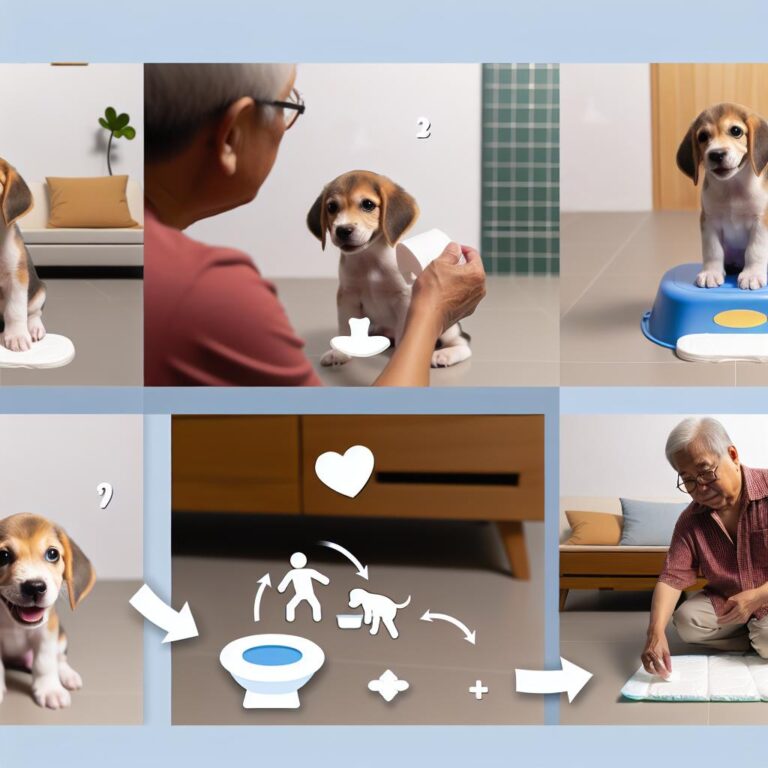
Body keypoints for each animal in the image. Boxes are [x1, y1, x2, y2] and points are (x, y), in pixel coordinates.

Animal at [0, 512, 95, 712]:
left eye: (53, 554)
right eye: (3, 555)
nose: (34, 586)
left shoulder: (47, 631)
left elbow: (44, 662)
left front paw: (50, 690)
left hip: (61, 636)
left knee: (59, 658)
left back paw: (67, 675)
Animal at [308, 172, 472, 368]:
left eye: (368, 204)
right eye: (331, 207)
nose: (343, 230)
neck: (369, 259)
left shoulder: (404, 299)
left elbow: (403, 334)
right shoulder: (347, 295)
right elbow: (345, 327)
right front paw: (340, 353)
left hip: (448, 328)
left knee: (463, 342)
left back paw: (445, 355)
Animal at [680, 102, 768, 292]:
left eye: (736, 131)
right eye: (703, 136)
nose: (716, 154)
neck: (732, 187)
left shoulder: (761, 221)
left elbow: (755, 250)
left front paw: (752, 275)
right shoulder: (709, 221)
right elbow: (713, 251)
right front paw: (711, 272)